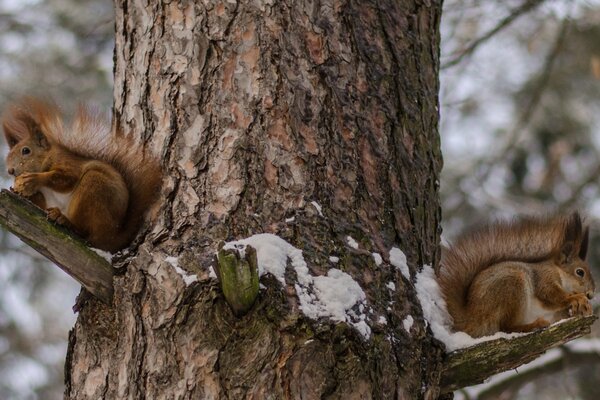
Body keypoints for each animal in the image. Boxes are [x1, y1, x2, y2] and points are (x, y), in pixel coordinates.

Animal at [2, 98, 161, 252]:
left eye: (26, 151)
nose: (10, 171)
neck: (47, 158)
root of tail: (114, 238)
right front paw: (18, 190)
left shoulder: (68, 164)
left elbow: (66, 179)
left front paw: (34, 179)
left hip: (94, 187)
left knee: (86, 232)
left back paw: (66, 221)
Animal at [436, 212, 596, 338]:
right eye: (580, 272)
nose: (591, 294)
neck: (559, 272)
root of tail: (471, 317)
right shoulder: (544, 277)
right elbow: (551, 294)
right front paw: (577, 298)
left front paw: (582, 308)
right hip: (512, 285)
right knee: (506, 327)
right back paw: (535, 325)